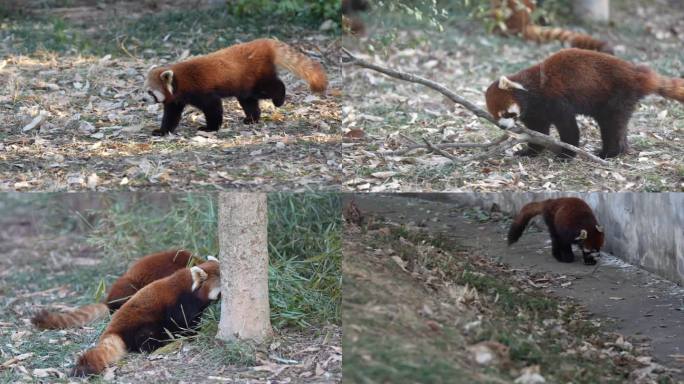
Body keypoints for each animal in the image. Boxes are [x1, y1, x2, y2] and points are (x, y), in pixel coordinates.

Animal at [70, 260, 219, 376]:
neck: (191, 289)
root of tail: (113, 329)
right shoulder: (180, 304)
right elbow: (183, 322)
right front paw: (192, 334)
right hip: (142, 324)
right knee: (146, 339)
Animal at [142, 38, 328, 136]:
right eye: (145, 91)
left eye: (149, 92)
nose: (142, 99)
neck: (179, 81)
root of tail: (264, 43)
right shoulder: (176, 100)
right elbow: (171, 116)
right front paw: (161, 130)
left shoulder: (202, 91)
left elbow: (213, 108)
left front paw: (210, 128)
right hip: (245, 85)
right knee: (249, 100)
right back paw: (251, 119)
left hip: (256, 76)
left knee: (272, 87)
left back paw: (279, 99)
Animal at [484, 48, 684, 159]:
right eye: (495, 115)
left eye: (506, 113)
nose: (503, 127)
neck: (532, 92)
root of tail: (636, 73)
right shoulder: (535, 112)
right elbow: (538, 131)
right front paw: (531, 151)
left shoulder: (554, 99)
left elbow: (568, 127)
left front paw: (566, 154)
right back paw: (620, 150)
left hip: (616, 95)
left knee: (612, 124)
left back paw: (610, 153)